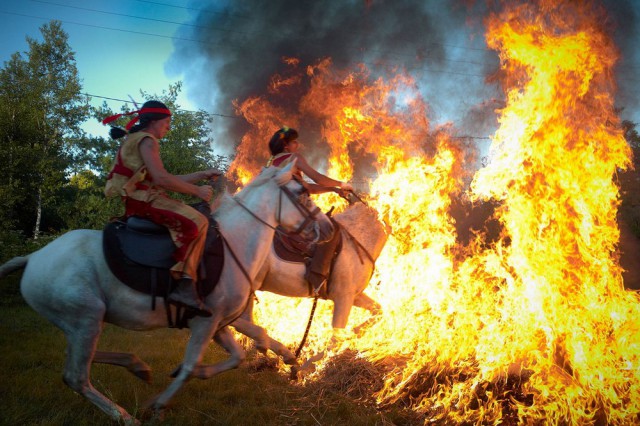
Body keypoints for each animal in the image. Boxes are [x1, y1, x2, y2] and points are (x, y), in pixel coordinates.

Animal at [0, 162, 330, 422]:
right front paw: (158, 404)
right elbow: (192, 364)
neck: (235, 243)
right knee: (77, 376)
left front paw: (197, 374)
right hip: (86, 318)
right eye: (302, 193)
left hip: (82, 322)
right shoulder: (206, 323)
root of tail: (33, 258)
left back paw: (136, 366)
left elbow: (234, 357)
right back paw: (125, 416)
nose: (326, 227)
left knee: (80, 358)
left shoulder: (217, 323)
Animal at [232, 200, 388, 362]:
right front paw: (317, 362)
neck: (358, 235)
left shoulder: (354, 296)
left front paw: (353, 333)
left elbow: (378, 311)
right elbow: (335, 339)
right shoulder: (343, 298)